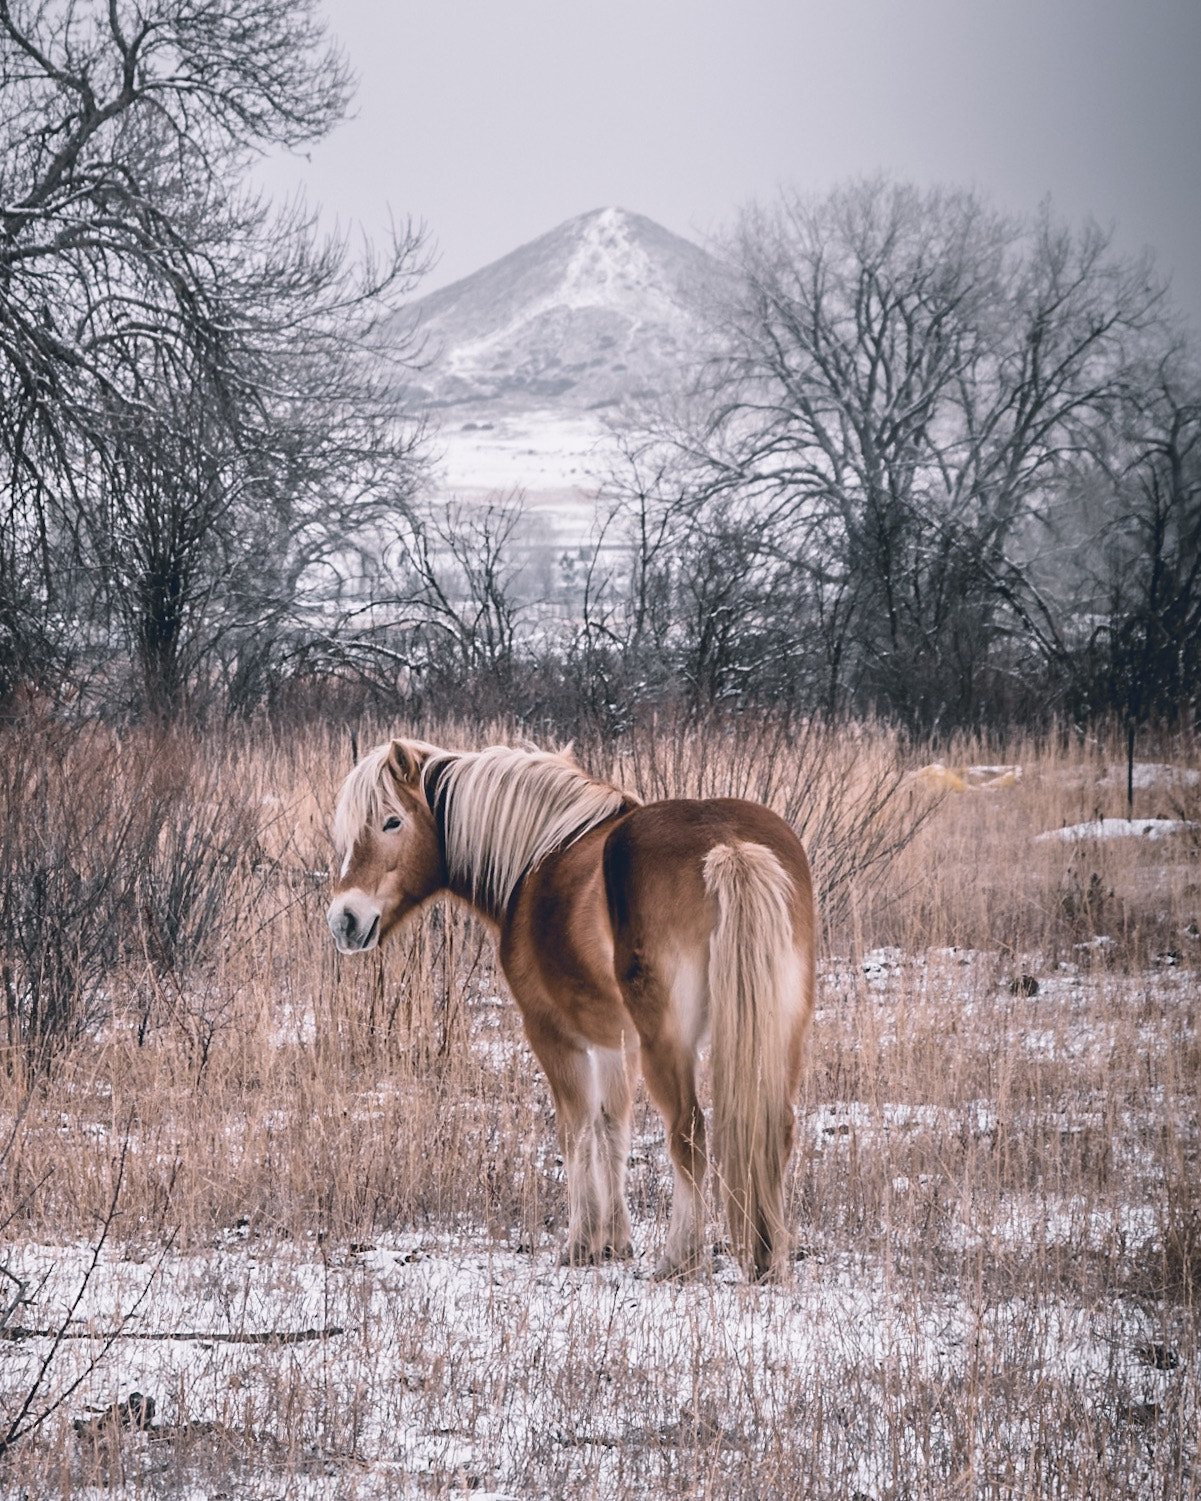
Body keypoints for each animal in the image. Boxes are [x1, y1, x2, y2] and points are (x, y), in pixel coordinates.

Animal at [325, 738, 816, 1278]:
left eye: (391, 821)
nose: (344, 920)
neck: (538, 858)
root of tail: (727, 845)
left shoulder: (554, 1036)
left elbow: (576, 1134)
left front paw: (581, 1244)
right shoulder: (615, 1045)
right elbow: (612, 1131)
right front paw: (616, 1242)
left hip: (670, 1044)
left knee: (688, 1133)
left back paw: (680, 1258)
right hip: (781, 1032)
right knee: (776, 1129)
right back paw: (769, 1255)